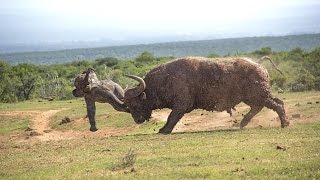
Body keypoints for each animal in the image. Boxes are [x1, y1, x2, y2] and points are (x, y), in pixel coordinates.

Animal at [113, 57, 290, 134]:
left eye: (135, 104)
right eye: (128, 106)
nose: (137, 120)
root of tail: (260, 65)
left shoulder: (181, 105)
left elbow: (172, 117)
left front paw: (164, 130)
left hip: (260, 95)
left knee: (277, 104)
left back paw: (284, 123)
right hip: (253, 97)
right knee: (260, 107)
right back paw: (242, 123)